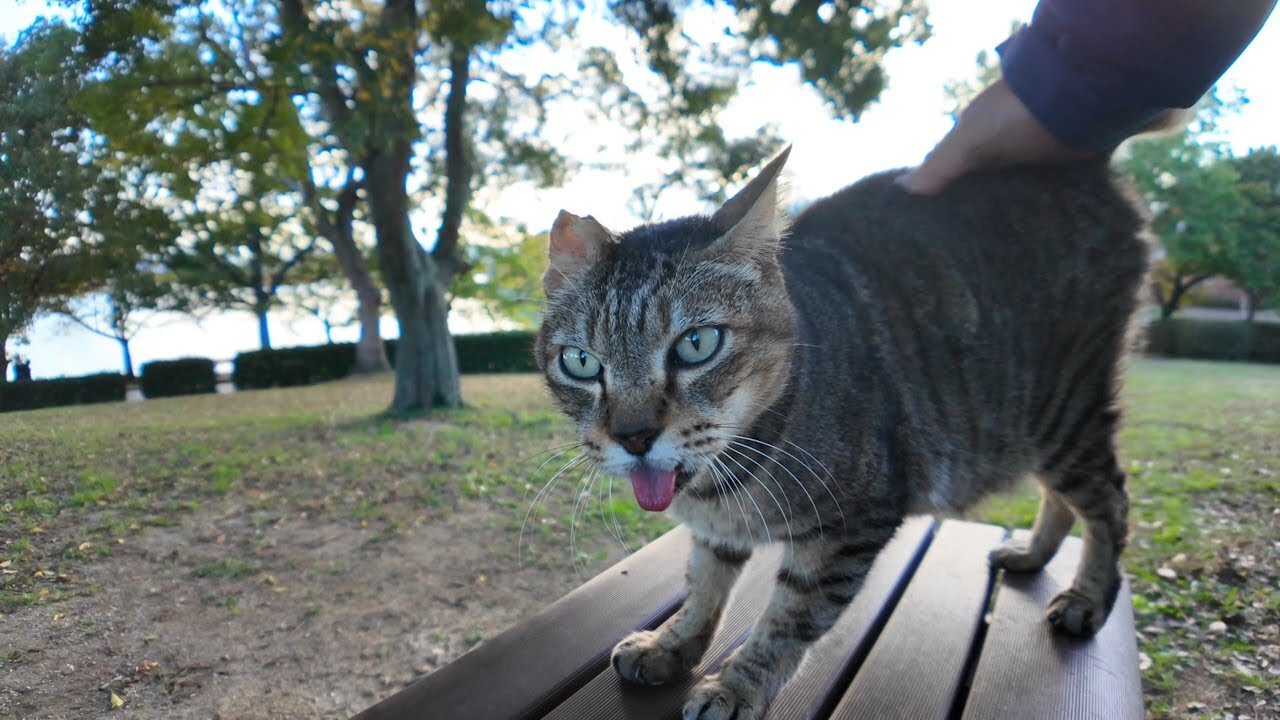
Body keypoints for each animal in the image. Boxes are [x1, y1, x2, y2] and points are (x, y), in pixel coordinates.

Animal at [532, 147, 1152, 717]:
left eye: (696, 344)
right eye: (581, 362)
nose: (634, 436)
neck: (724, 484)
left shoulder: (851, 524)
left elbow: (788, 618)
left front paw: (737, 685)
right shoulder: (716, 531)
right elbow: (703, 585)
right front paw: (672, 644)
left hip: (1062, 411)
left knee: (1110, 502)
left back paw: (1087, 598)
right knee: (1063, 497)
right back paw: (1031, 553)